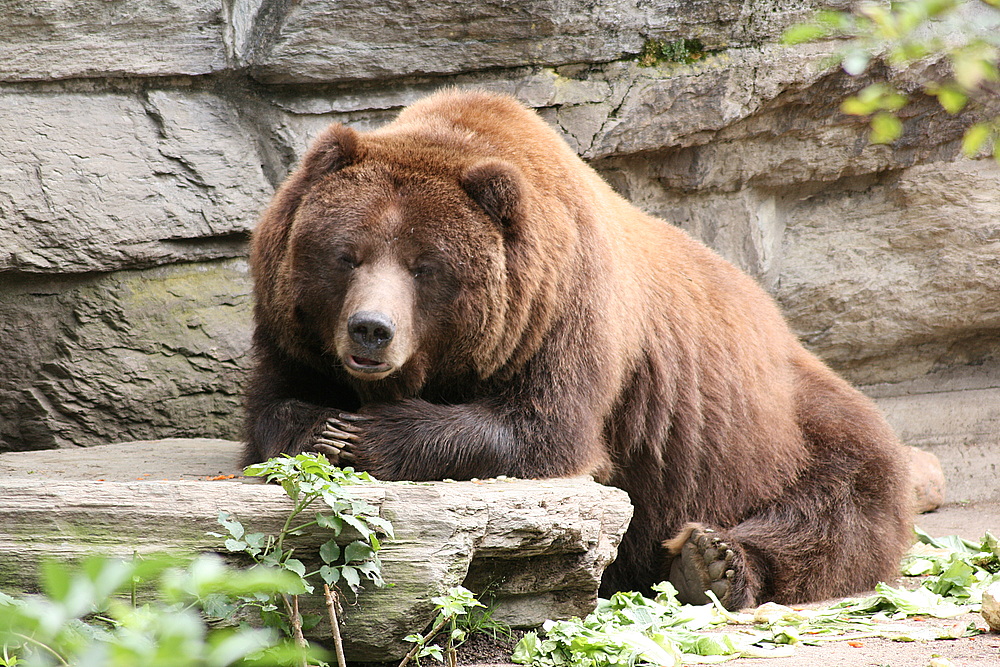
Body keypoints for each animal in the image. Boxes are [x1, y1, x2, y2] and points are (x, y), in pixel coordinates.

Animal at [244, 88, 916, 612]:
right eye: (347, 255)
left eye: (423, 266)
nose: (370, 330)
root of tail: (784, 332)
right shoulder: (289, 326)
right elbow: (275, 408)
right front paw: (326, 427)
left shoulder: (567, 313)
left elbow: (544, 433)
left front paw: (368, 434)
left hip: (780, 427)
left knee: (844, 502)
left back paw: (713, 562)